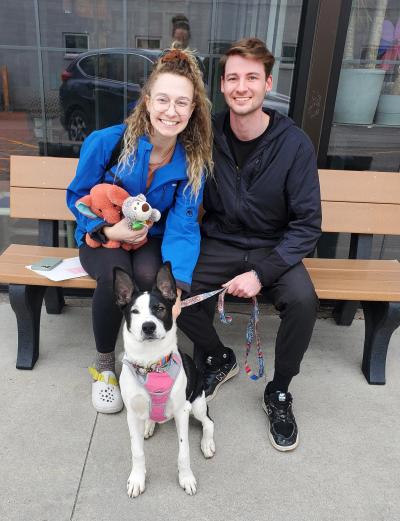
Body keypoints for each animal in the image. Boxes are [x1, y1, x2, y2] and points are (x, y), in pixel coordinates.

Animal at [114, 262, 214, 498]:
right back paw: (149, 425)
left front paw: (186, 478)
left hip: (196, 404)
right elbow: (137, 451)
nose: (148, 327)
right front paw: (137, 478)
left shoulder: (182, 411)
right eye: (134, 311)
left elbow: (183, 451)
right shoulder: (132, 414)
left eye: (159, 308)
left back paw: (207, 443)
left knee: (209, 423)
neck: (152, 364)